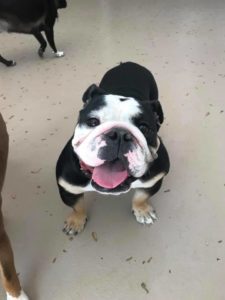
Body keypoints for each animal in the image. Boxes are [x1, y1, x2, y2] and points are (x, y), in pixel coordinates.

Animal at [56, 61, 171, 234]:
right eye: (92, 122)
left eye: (144, 128)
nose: (120, 134)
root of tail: (129, 63)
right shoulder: (68, 188)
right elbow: (77, 206)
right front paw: (76, 221)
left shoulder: (153, 181)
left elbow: (141, 196)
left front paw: (142, 210)